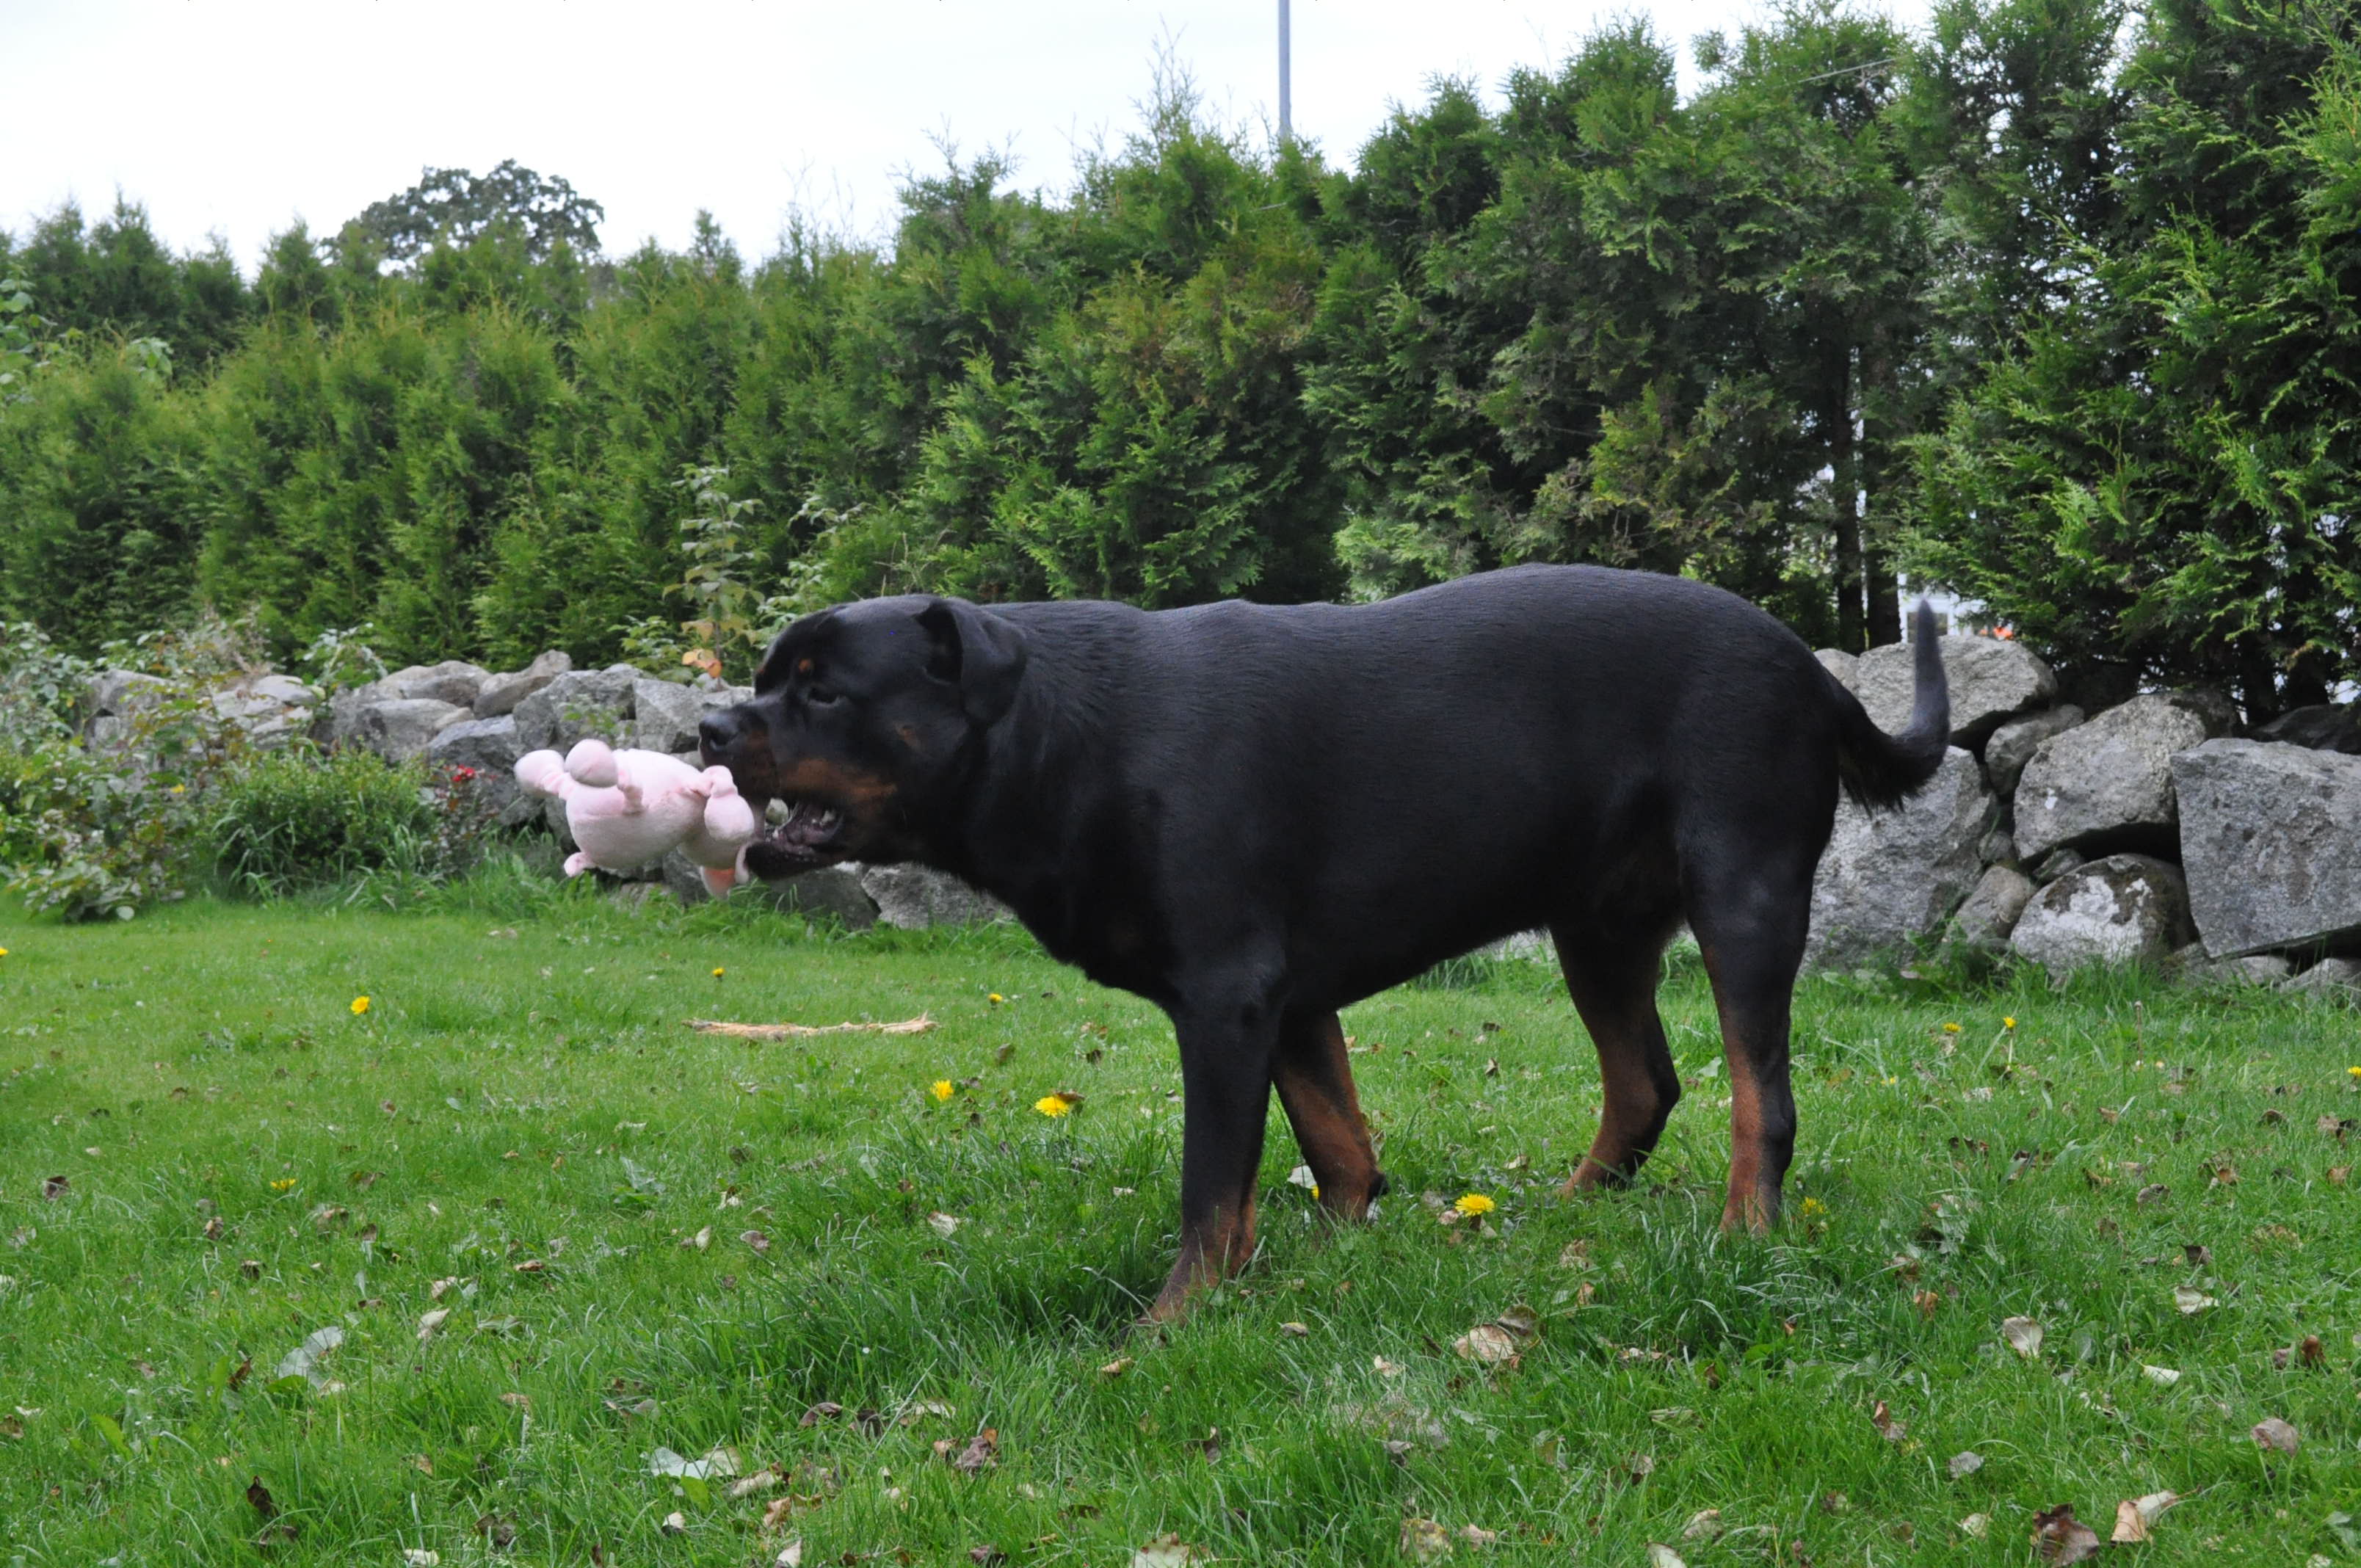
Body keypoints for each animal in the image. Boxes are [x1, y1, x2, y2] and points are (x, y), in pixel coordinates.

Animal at [700, 564, 1948, 1321]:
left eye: (822, 693)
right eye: (761, 678)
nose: (711, 722)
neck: (1063, 739)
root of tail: (1811, 669)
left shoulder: (1227, 997)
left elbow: (1212, 1184)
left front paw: (1175, 1320)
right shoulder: (1290, 1002)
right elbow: (1337, 1144)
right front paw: (1327, 1260)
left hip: (1743, 892)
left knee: (1758, 1099)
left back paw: (1746, 1235)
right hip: (1597, 924)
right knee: (1644, 1082)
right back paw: (1571, 1208)